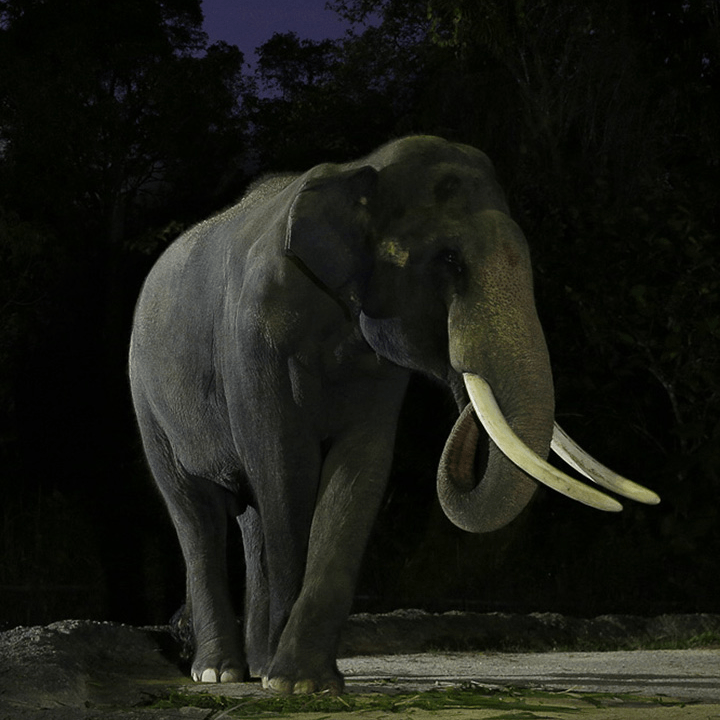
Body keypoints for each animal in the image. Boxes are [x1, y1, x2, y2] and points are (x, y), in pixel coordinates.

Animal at [128, 135, 659, 694]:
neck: (360, 170)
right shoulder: (254, 340)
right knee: (198, 512)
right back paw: (219, 673)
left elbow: (360, 469)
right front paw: (288, 684)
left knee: (249, 517)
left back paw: (253, 666)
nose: (460, 376)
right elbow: (285, 465)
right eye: (449, 260)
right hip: (147, 400)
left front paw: (308, 684)